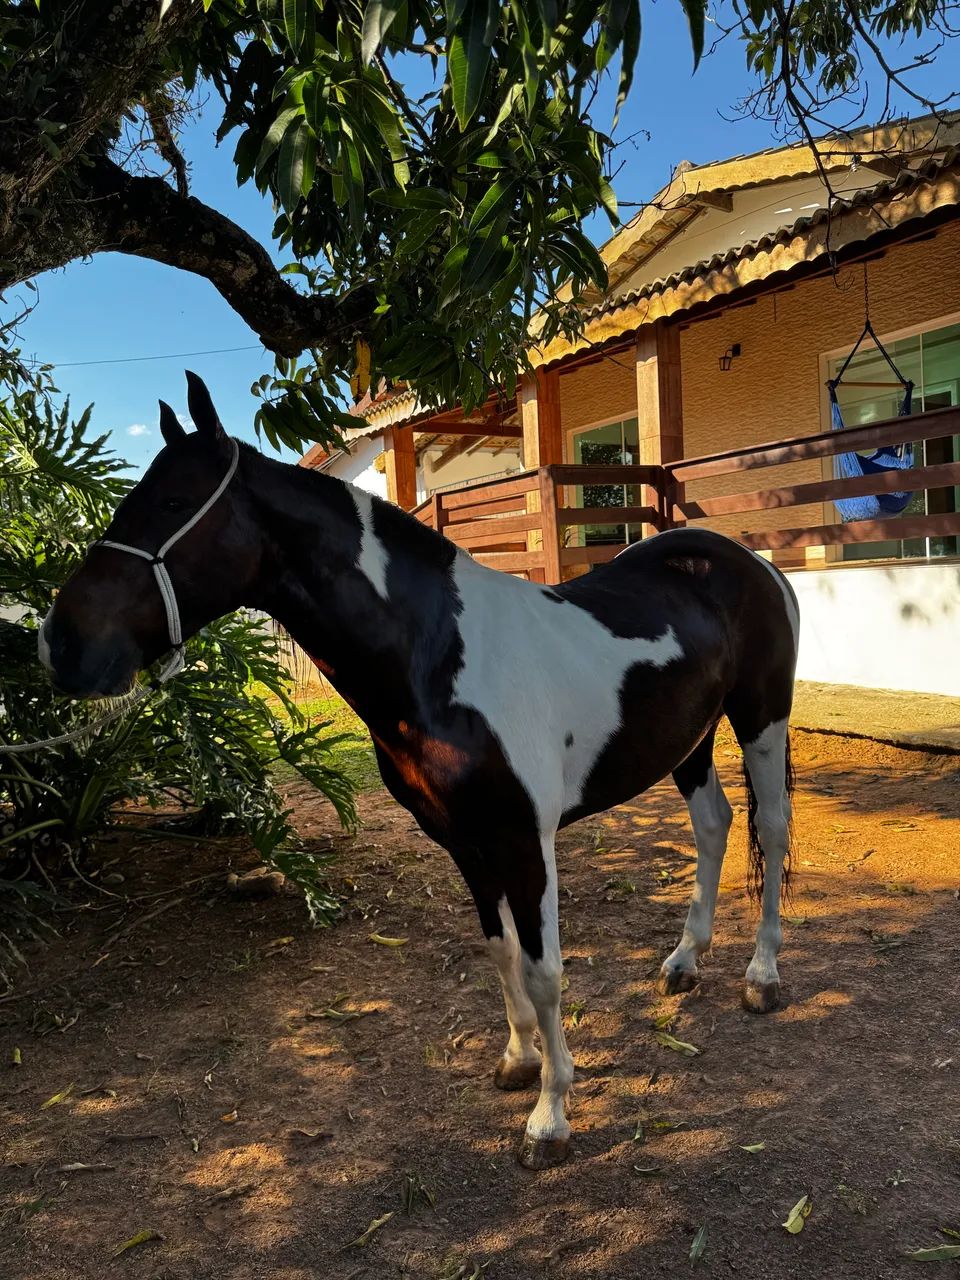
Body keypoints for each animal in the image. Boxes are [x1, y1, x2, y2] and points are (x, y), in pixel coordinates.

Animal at [40, 372, 799, 1170]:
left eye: (173, 503)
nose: (59, 642)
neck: (437, 660)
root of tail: (743, 559)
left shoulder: (524, 844)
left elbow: (545, 971)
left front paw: (550, 1117)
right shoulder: (464, 842)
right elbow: (499, 951)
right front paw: (518, 1062)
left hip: (760, 719)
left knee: (772, 831)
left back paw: (761, 977)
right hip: (690, 741)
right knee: (714, 825)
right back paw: (684, 961)